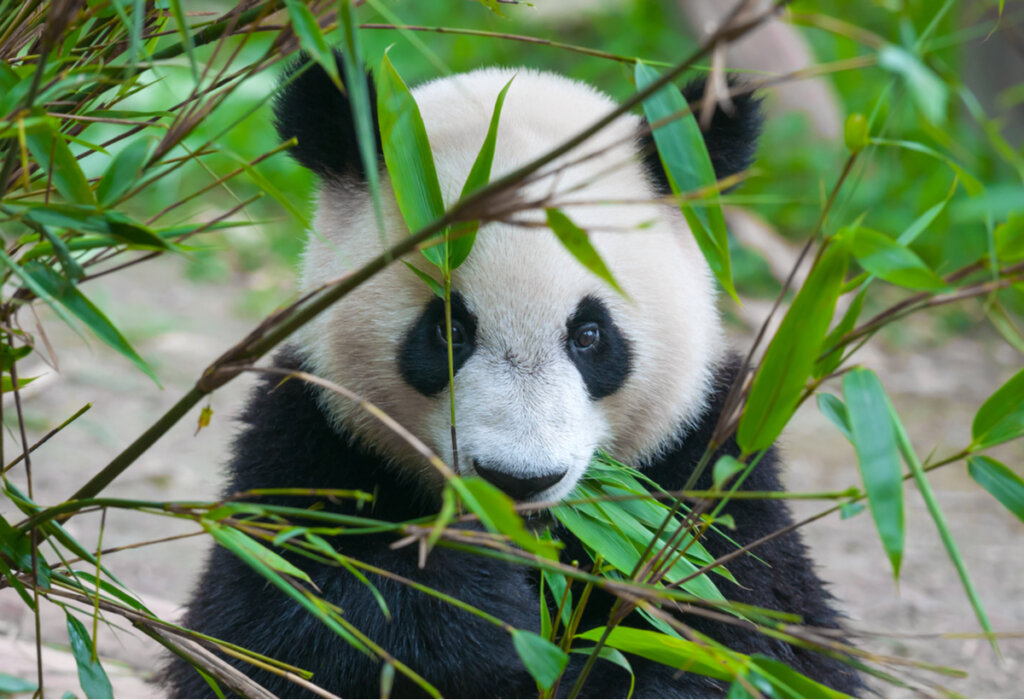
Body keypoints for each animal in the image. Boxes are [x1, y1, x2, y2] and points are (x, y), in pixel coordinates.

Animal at [163, 57, 868, 695]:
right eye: (449, 330)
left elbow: (750, 638)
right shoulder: (310, 438)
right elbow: (272, 624)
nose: (518, 480)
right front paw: (478, 597)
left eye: (590, 335)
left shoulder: (709, 464)